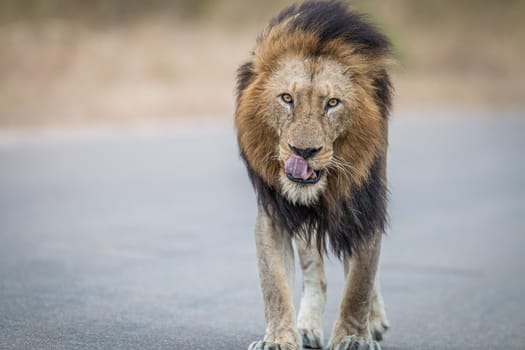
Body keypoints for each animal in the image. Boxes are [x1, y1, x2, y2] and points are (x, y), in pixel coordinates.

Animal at [234, 1, 392, 348]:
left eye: (332, 103)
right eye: (286, 98)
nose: (303, 151)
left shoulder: (364, 207)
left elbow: (360, 282)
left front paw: (353, 337)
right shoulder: (274, 212)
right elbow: (274, 285)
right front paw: (279, 339)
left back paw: (374, 320)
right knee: (313, 271)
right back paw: (306, 327)